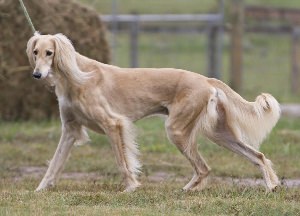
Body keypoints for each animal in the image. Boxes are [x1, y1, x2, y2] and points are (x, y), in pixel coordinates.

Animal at [26, 33, 282, 192]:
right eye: (35, 52)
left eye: (50, 53)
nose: (37, 75)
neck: (76, 77)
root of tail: (206, 79)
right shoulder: (70, 130)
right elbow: (54, 164)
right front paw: (40, 189)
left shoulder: (113, 124)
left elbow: (123, 162)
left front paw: (131, 187)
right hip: (219, 134)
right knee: (257, 156)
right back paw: (271, 186)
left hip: (177, 130)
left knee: (204, 168)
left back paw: (187, 190)